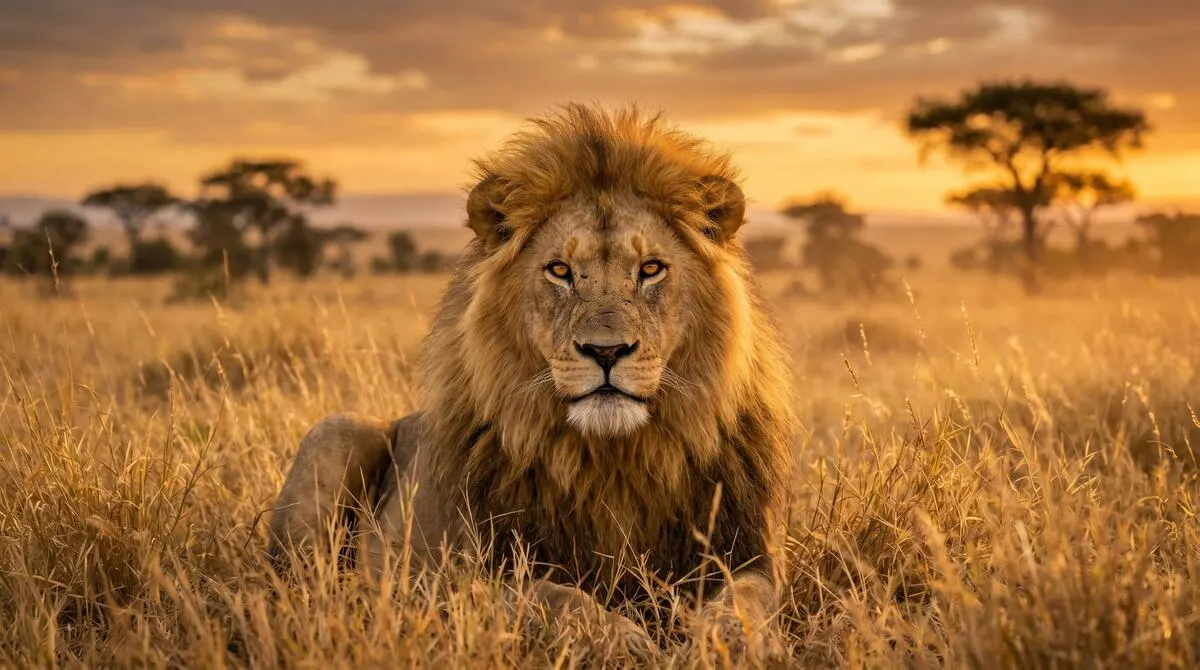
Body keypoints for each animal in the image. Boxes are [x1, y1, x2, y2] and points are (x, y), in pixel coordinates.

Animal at [267, 104, 796, 654]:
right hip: (335, 432)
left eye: (651, 269)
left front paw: (726, 643)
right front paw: (624, 640)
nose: (606, 351)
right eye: (559, 270)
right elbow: (556, 598)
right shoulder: (475, 574)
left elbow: (746, 600)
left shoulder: (749, 551)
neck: (614, 459)